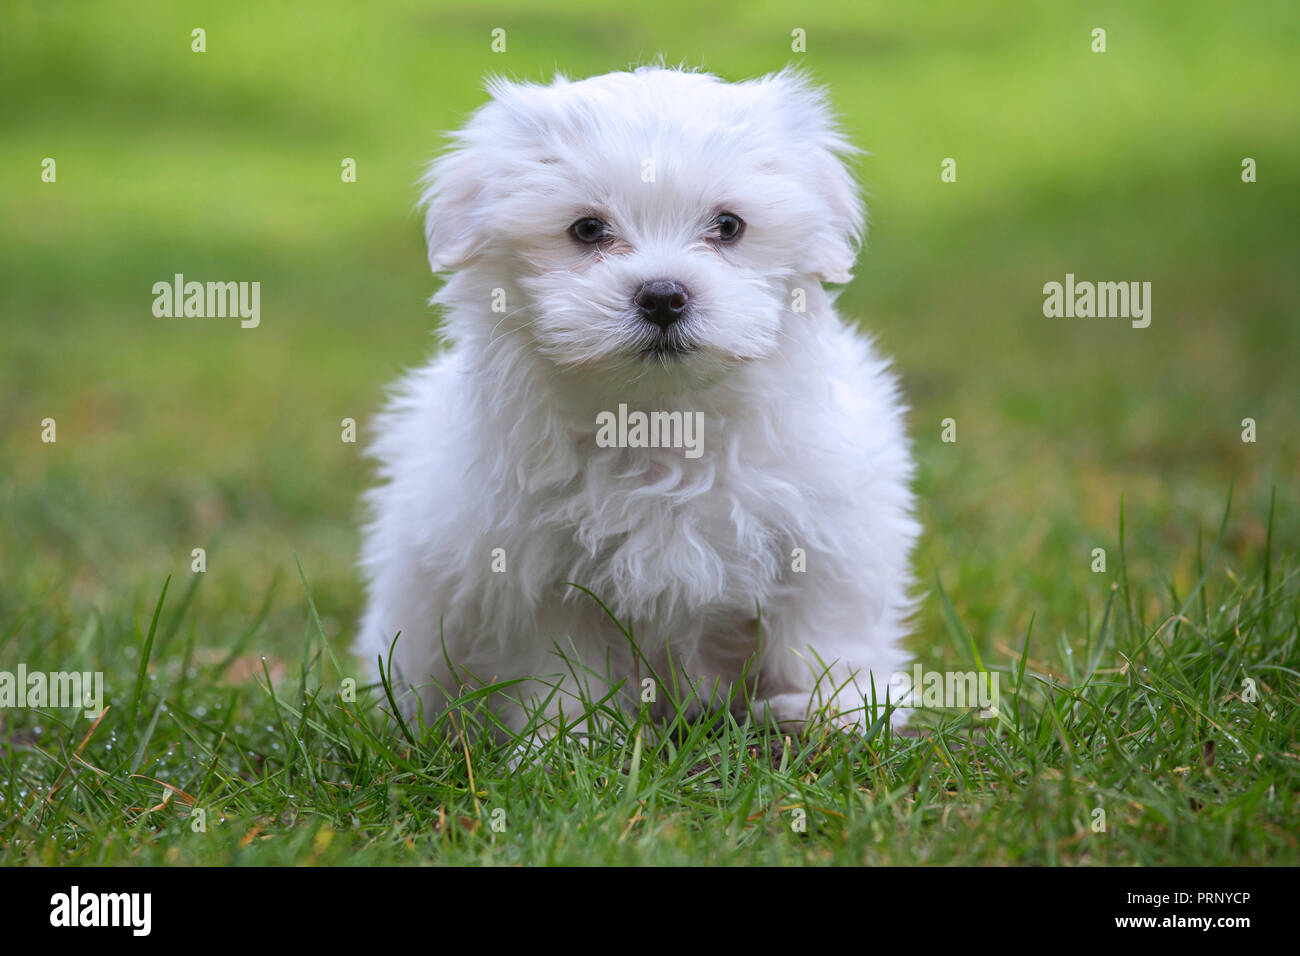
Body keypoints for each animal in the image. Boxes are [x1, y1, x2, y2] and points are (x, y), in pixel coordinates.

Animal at [361, 69, 920, 738]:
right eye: (587, 230)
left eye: (728, 226)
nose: (662, 295)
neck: (660, 419)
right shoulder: (536, 569)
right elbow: (561, 661)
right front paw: (563, 738)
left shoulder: (828, 524)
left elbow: (823, 624)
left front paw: (834, 709)